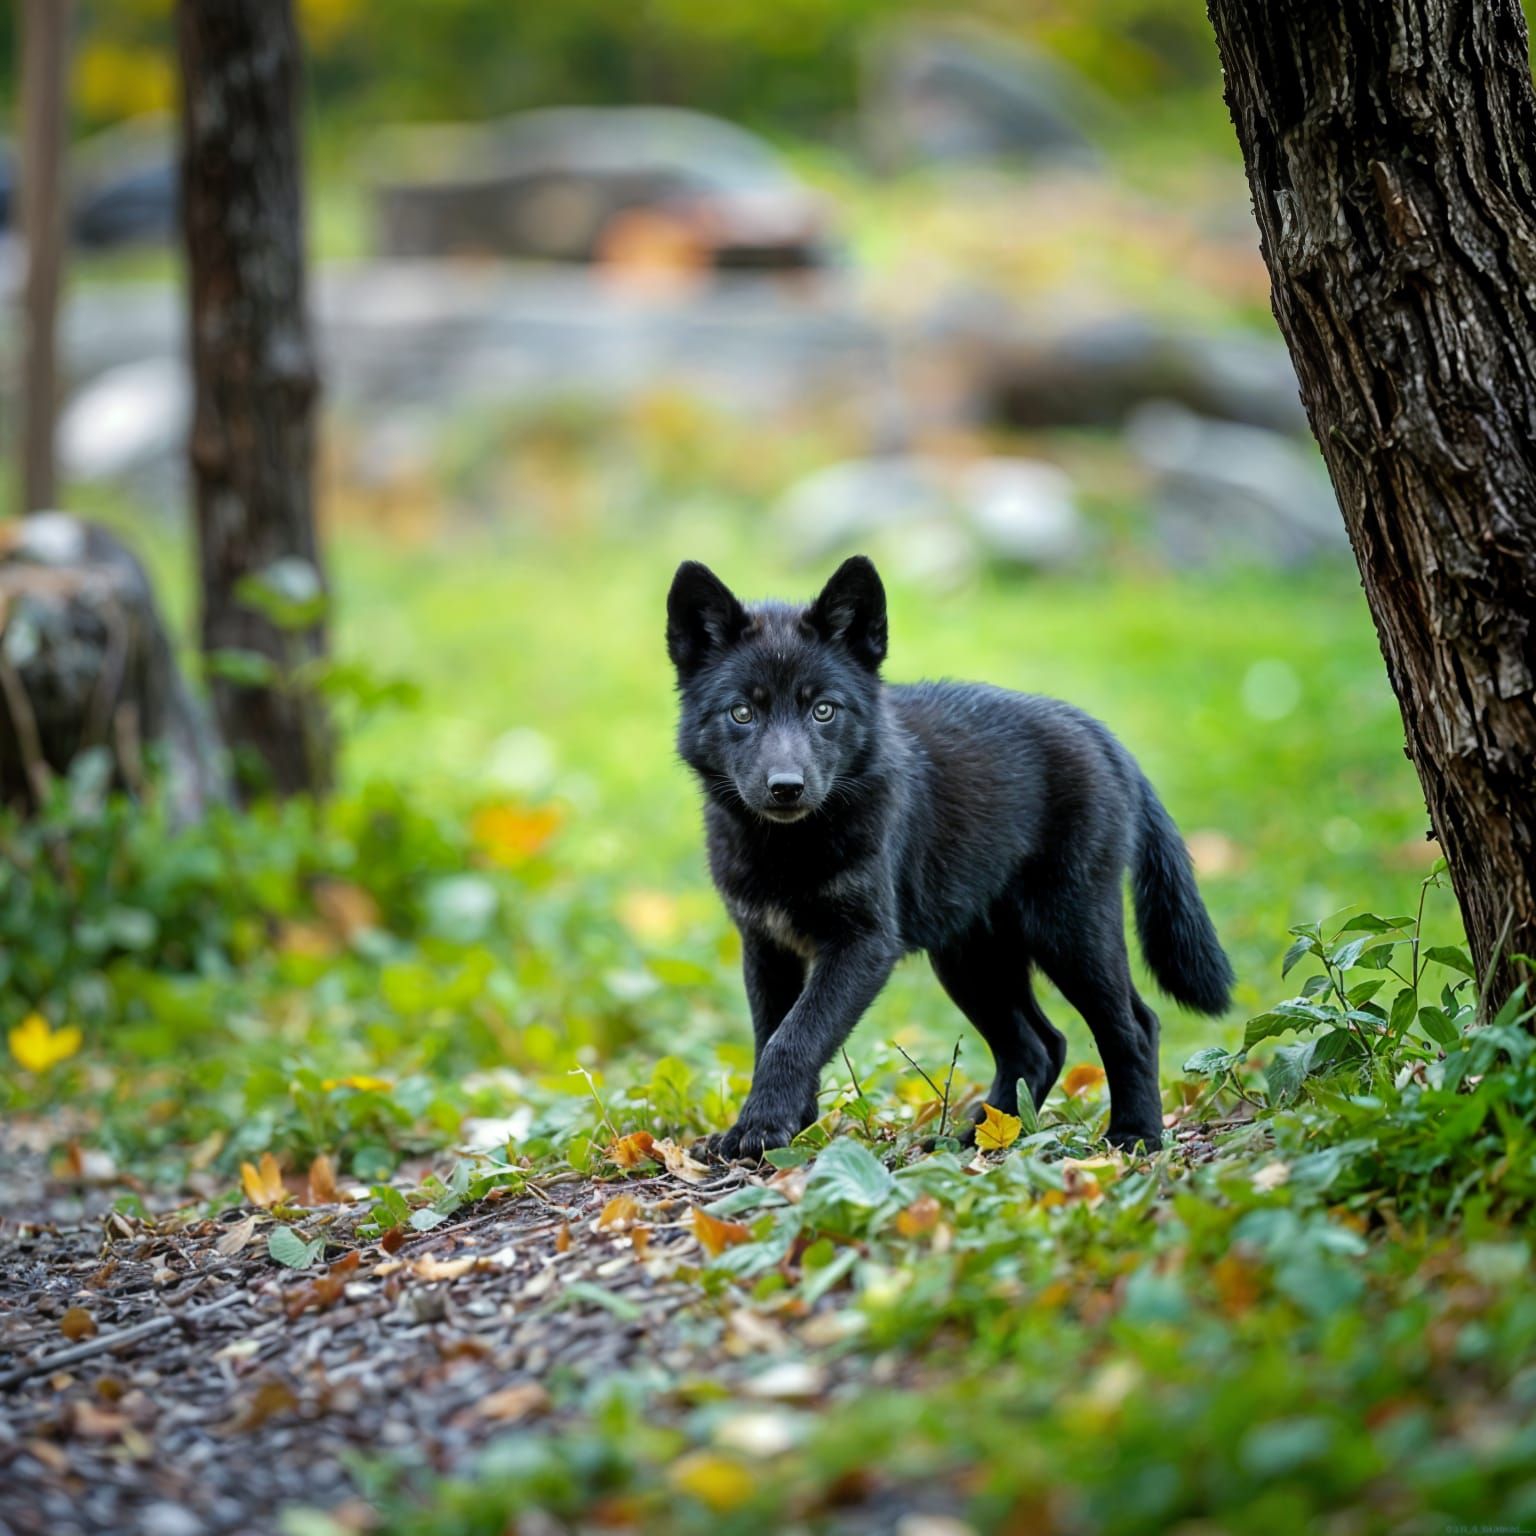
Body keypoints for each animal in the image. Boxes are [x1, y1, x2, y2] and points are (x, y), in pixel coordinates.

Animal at [666, 555, 1233, 1159]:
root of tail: (1096, 730)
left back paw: (1134, 1135)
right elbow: (775, 1034)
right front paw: (786, 1130)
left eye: (823, 710)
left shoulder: (863, 944)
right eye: (741, 713)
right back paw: (983, 1137)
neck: (788, 850)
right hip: (971, 957)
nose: (786, 788)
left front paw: (760, 1129)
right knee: (1040, 1044)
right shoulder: (766, 946)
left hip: (1071, 931)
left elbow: (795, 1036)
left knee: (1133, 1025)